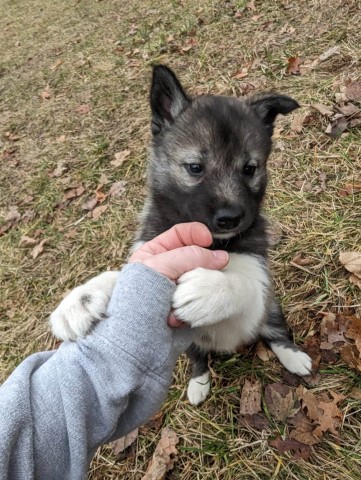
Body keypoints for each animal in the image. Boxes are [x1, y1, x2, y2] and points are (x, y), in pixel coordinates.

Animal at [49, 64, 310, 404]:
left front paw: (211, 289)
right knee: (199, 359)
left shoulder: (258, 284)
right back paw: (199, 383)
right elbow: (127, 271)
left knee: (276, 332)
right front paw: (79, 299)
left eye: (250, 169)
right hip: (189, 344)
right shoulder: (154, 246)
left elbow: (244, 284)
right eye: (195, 167)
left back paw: (294, 357)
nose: (231, 219)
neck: (212, 242)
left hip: (270, 309)